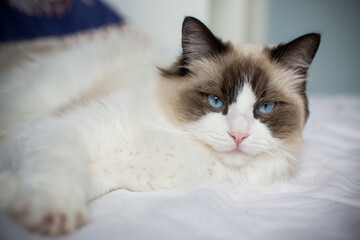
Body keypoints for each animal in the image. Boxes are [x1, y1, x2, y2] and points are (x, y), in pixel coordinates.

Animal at [0, 16, 320, 234]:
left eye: (264, 108)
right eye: (216, 101)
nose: (238, 135)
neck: (177, 139)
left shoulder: (111, 174)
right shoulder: (57, 128)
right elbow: (57, 168)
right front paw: (50, 215)